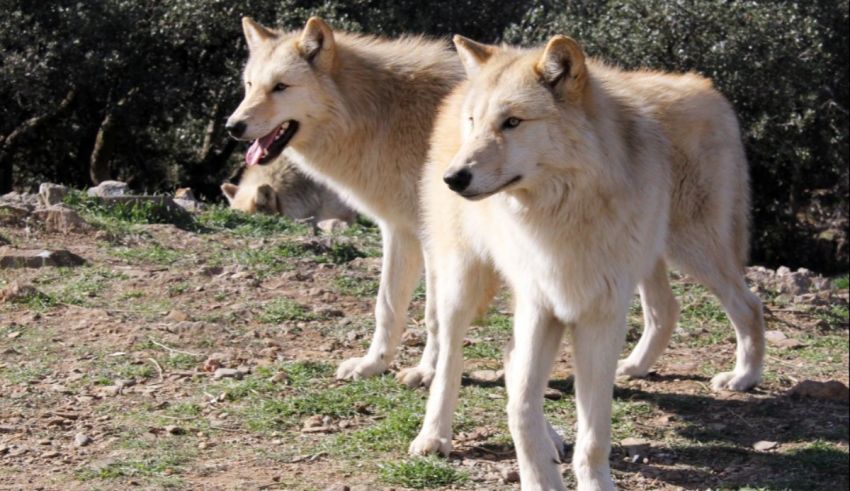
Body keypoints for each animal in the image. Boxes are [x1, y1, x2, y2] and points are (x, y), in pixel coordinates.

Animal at [414, 32, 764, 490]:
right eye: (475, 121)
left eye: (513, 122)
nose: (454, 178)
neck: (560, 215)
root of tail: (710, 91)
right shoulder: (540, 307)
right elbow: (520, 407)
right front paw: (540, 477)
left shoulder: (602, 313)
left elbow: (595, 430)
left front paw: (591, 478)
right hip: (464, 283)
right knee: (453, 358)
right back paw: (435, 436)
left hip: (690, 250)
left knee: (739, 305)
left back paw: (741, 377)